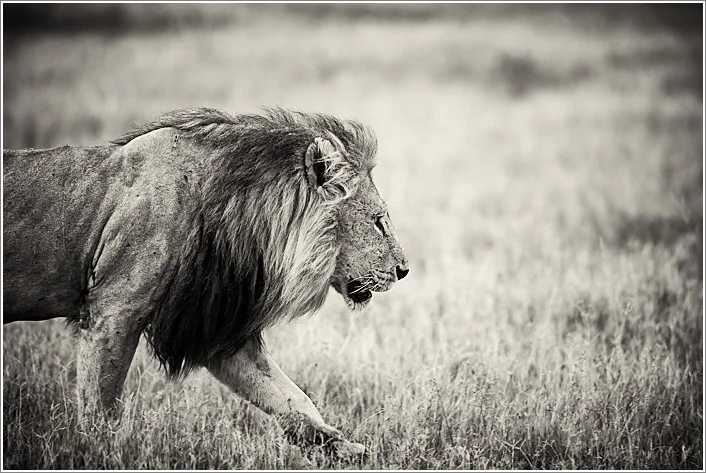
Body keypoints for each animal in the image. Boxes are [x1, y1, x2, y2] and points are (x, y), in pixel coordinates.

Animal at [3, 107, 409, 457]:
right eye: (378, 221)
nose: (404, 270)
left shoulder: (214, 327)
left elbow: (291, 397)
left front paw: (340, 447)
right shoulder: (113, 311)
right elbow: (100, 404)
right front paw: (98, 452)